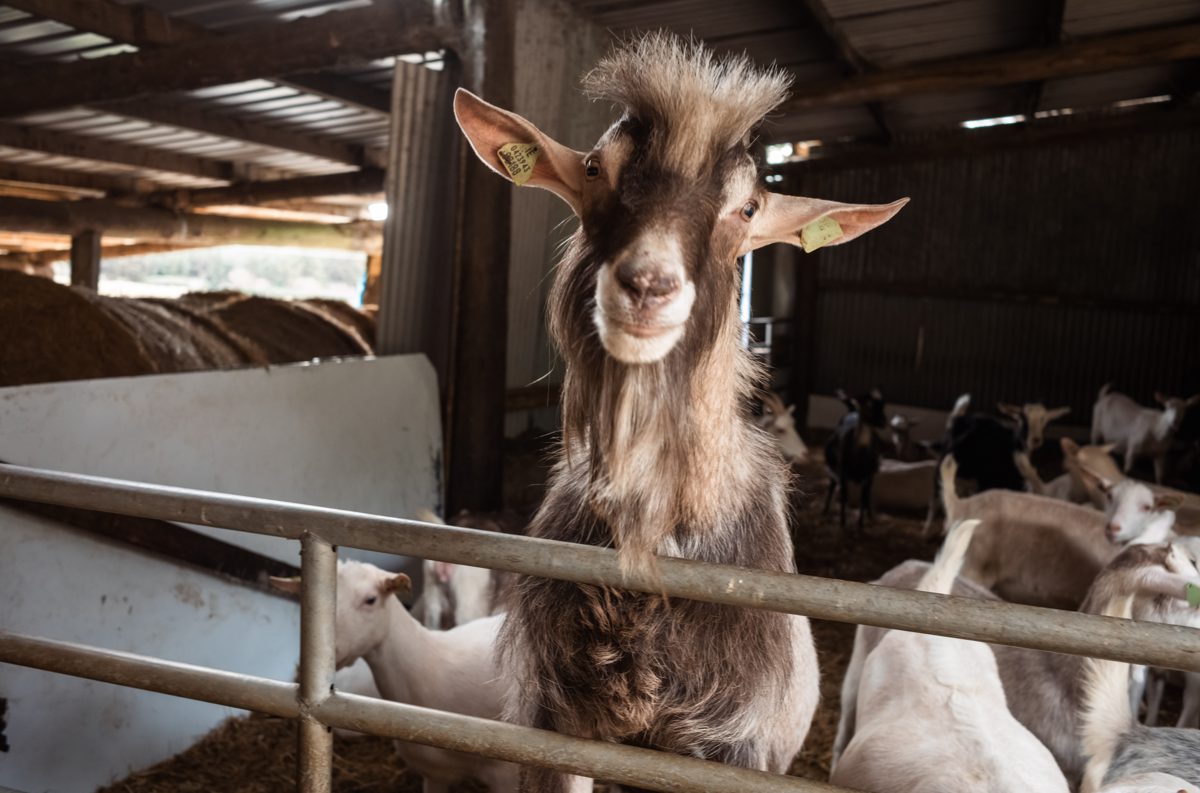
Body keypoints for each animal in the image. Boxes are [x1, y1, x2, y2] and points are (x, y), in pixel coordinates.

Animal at [824, 388, 887, 534]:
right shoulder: (842, 474)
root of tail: (852, 410)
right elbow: (844, 497)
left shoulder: (868, 476)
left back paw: (871, 516)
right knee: (832, 486)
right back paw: (825, 512)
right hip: (833, 469)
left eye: (883, 405)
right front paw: (843, 523)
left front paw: (860, 525)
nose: (884, 422)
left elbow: (863, 498)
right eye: (869, 404)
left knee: (867, 494)